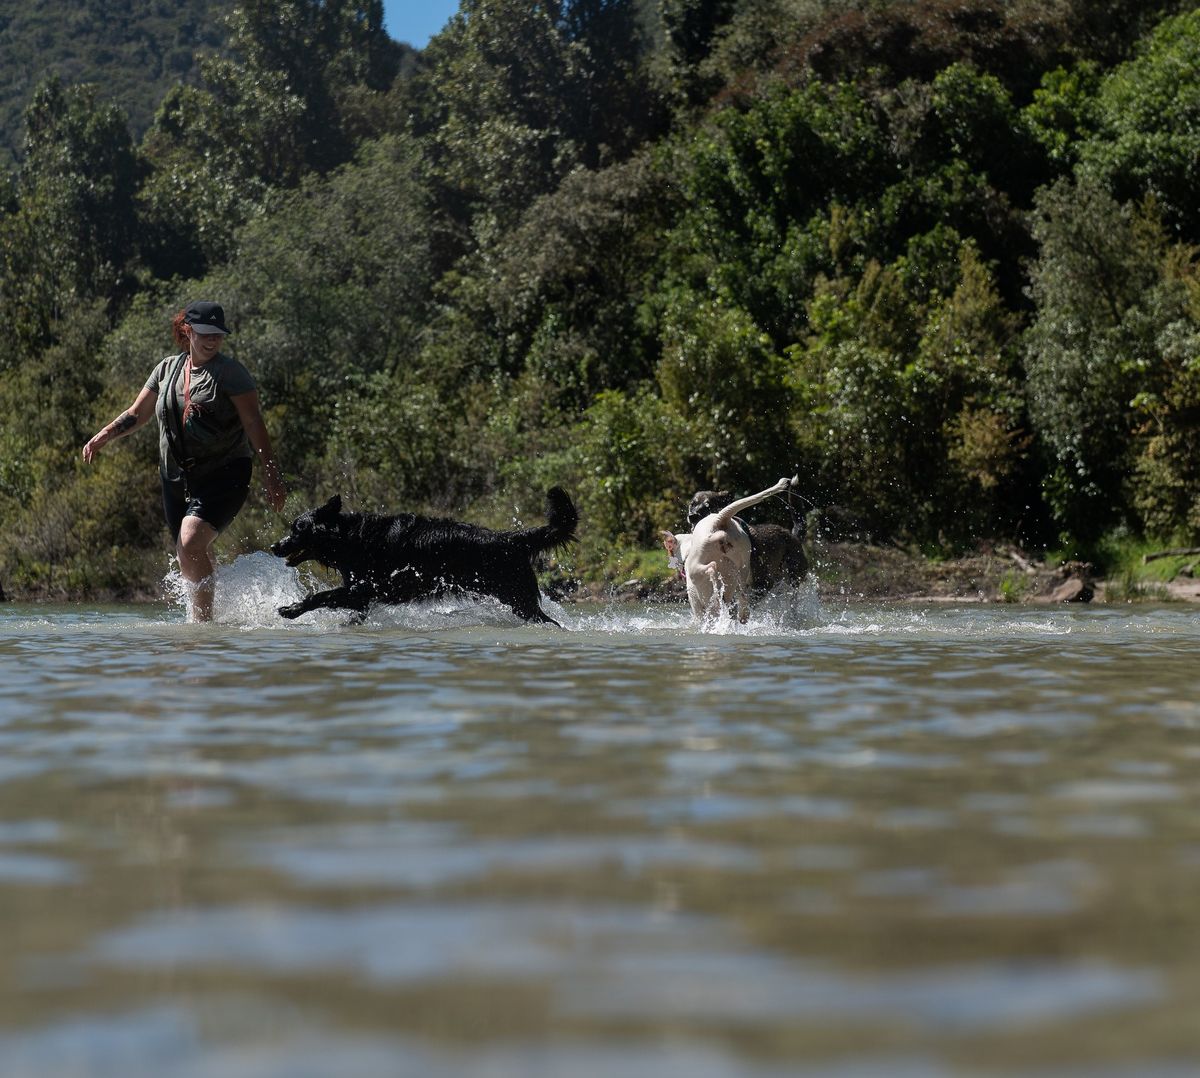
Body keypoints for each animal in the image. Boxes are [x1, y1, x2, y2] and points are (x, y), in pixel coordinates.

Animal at [271, 487, 576, 624]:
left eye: (297, 529)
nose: (275, 546)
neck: (351, 539)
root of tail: (508, 539)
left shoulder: (366, 589)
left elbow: (321, 596)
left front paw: (292, 609)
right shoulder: (361, 596)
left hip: (519, 599)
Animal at [667, 477, 796, 624]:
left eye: (707, 505)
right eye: (692, 504)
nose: (692, 515)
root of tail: (719, 520)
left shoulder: (696, 600)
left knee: (715, 573)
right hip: (742, 566)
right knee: (741, 595)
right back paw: (742, 615)